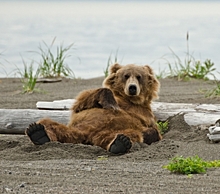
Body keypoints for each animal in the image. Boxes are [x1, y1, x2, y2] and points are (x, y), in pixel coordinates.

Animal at [25, 63, 162, 155]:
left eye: (139, 76)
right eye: (126, 76)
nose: (132, 87)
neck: (129, 100)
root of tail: (87, 137)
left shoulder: (145, 114)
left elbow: (154, 131)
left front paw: (148, 133)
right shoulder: (85, 105)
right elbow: (82, 102)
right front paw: (111, 104)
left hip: (110, 132)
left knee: (129, 135)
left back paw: (120, 143)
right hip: (75, 128)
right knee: (48, 123)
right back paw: (38, 133)